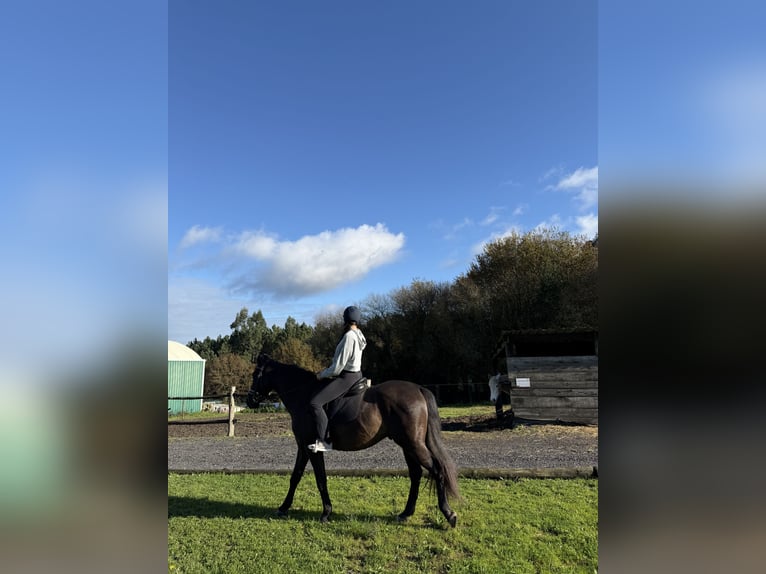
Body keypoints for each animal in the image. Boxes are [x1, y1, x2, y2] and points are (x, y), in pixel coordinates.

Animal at [246, 353, 460, 527]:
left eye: (255, 375)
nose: (249, 401)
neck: (303, 394)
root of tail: (418, 389)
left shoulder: (312, 448)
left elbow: (320, 478)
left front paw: (326, 513)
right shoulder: (303, 446)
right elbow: (295, 476)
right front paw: (283, 507)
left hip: (413, 444)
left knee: (437, 470)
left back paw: (449, 514)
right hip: (407, 445)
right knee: (416, 474)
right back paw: (406, 513)